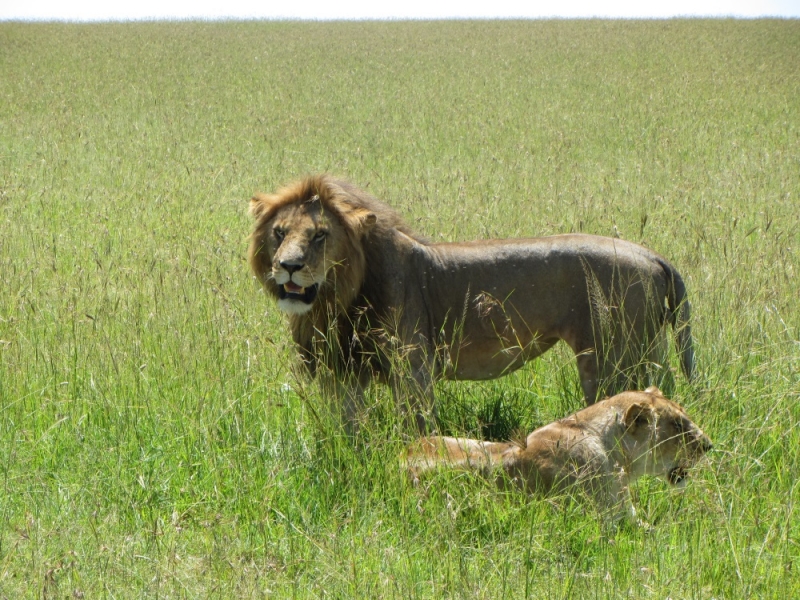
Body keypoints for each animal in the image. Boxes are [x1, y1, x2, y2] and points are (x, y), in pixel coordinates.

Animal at [247, 175, 692, 432]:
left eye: (320, 235)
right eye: (279, 232)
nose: (288, 267)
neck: (338, 298)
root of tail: (654, 256)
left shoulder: (413, 369)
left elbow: (415, 426)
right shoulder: (345, 371)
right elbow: (349, 426)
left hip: (610, 360)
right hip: (645, 352)